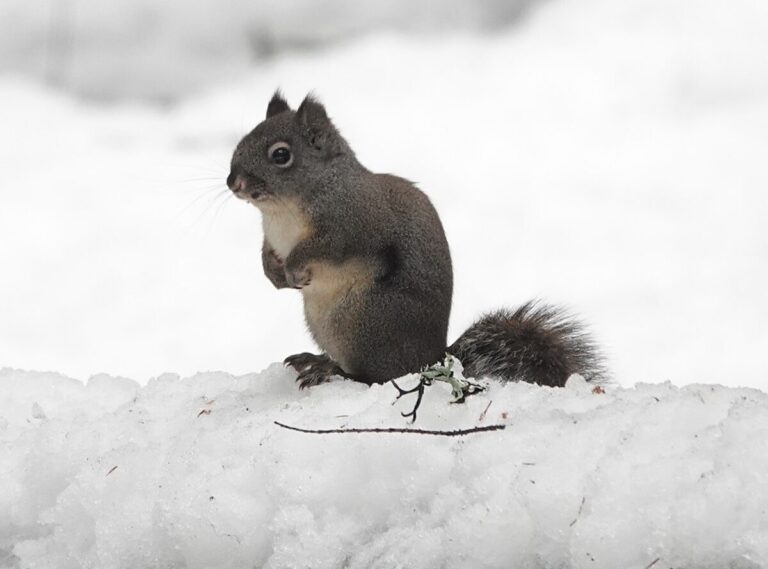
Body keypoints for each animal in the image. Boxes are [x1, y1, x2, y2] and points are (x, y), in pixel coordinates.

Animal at [226, 91, 606, 389]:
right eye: (241, 143)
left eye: (280, 155)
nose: (233, 183)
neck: (282, 211)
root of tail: (432, 360)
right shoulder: (272, 235)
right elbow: (267, 253)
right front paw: (272, 273)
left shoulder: (351, 226)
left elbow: (323, 248)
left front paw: (292, 268)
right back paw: (317, 360)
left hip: (362, 320)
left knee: (375, 378)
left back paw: (331, 370)